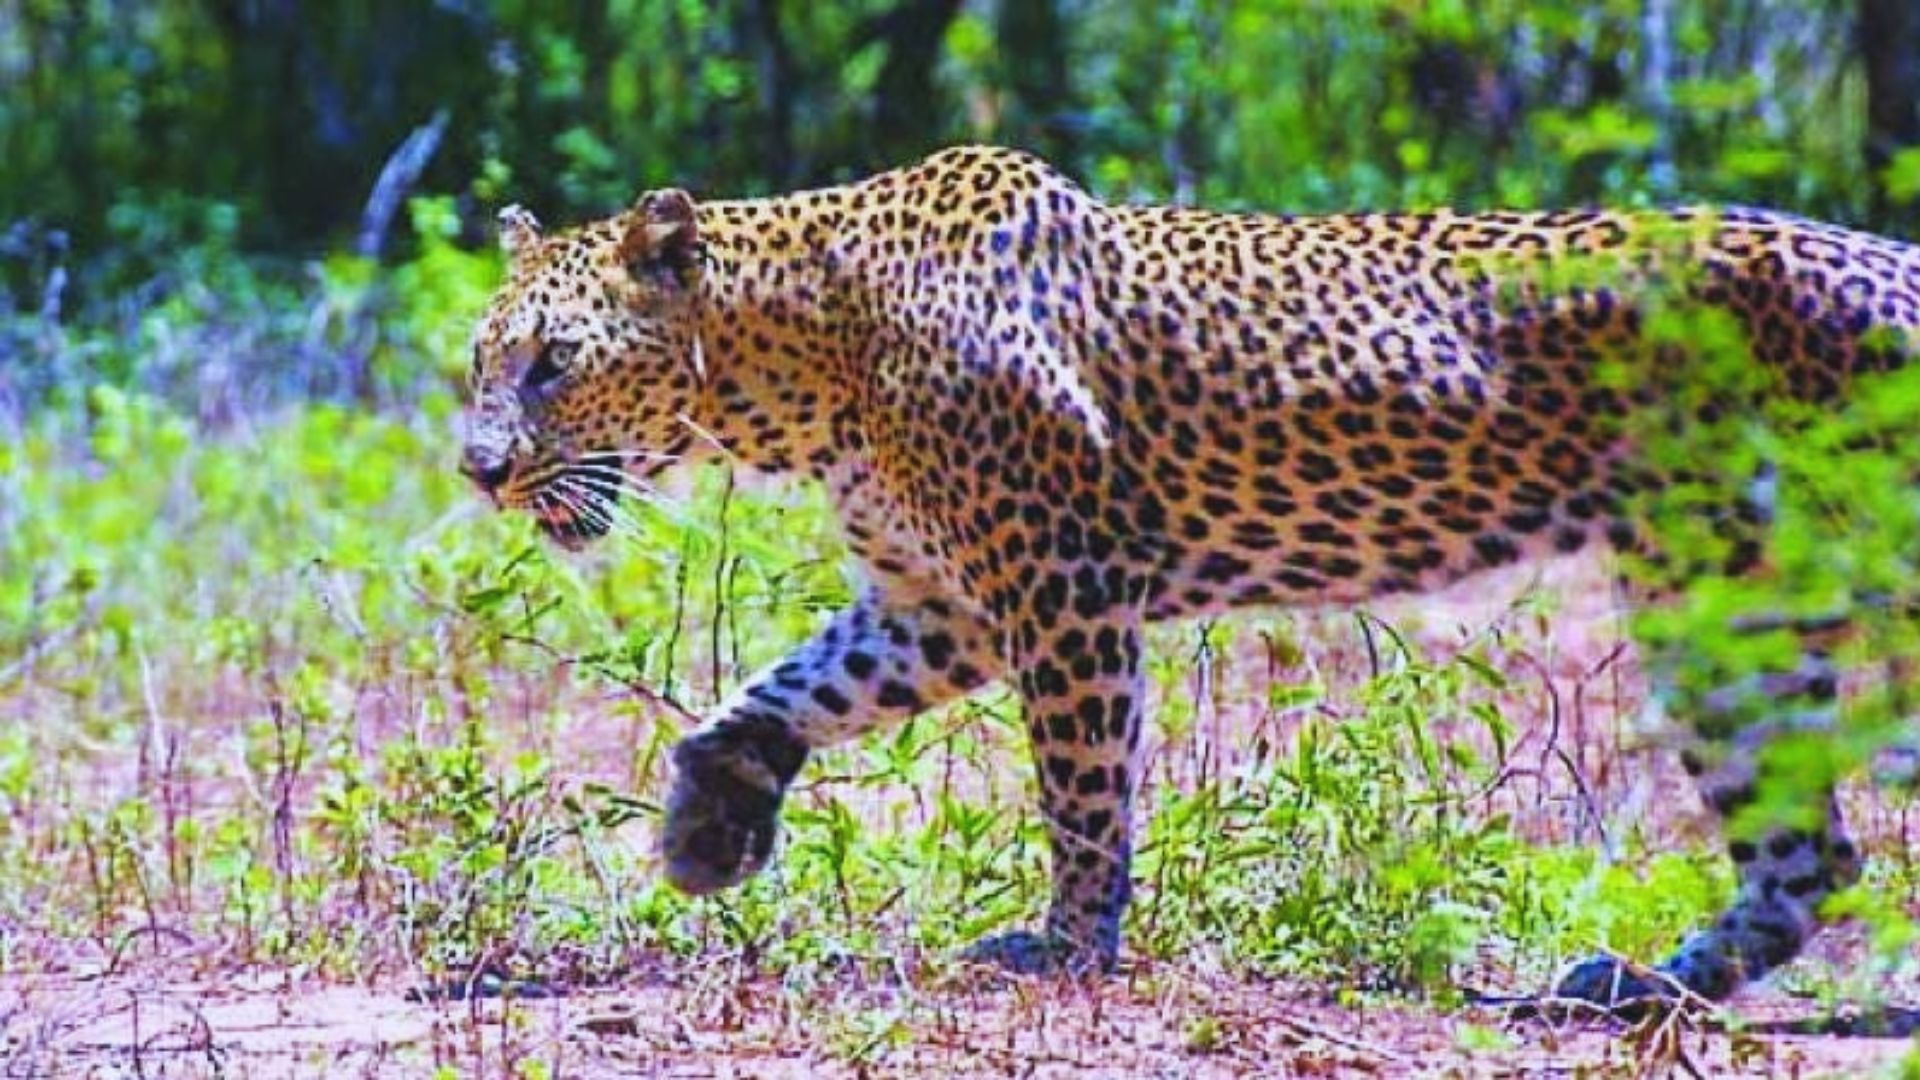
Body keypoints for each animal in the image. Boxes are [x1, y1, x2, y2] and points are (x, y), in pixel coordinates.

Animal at [461, 144, 1920, 1009]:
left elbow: (1084, 795)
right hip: (1717, 600)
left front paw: (1069, 951)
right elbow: (776, 694)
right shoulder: (940, 605)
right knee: (1808, 856)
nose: (477, 469)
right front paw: (710, 828)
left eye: (552, 363)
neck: (802, 360)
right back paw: (1629, 987)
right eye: (481, 359)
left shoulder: (1062, 587)